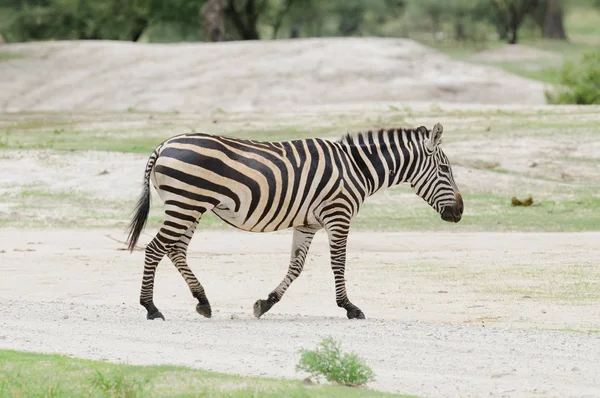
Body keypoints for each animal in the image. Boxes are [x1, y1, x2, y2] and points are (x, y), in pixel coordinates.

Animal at [125, 121, 464, 320]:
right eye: (445, 170)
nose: (460, 212)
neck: (357, 168)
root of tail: (164, 145)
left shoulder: (308, 222)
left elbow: (296, 266)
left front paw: (266, 303)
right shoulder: (338, 214)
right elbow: (338, 263)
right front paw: (349, 307)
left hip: (190, 206)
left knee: (175, 250)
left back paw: (203, 301)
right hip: (186, 203)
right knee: (155, 249)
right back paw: (151, 308)